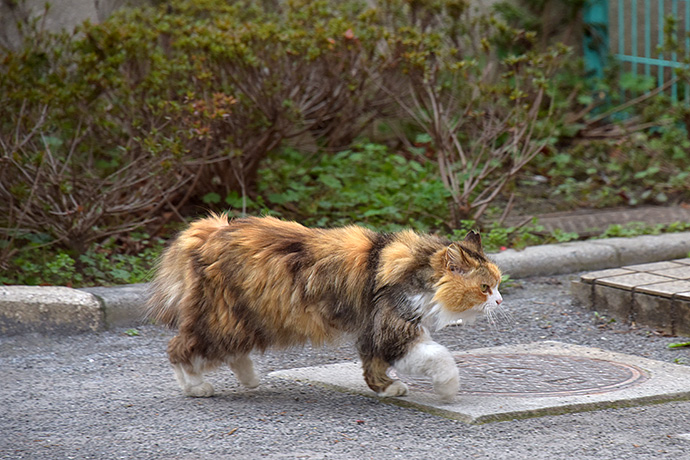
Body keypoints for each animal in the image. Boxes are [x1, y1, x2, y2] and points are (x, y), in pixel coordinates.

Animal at [146, 214, 500, 400]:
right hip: (223, 320)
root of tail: (211, 229)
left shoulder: (375, 330)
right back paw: (195, 386)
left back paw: (249, 379)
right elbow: (440, 357)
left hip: (246, 321)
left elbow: (373, 365)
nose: (499, 300)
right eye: (485, 287)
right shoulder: (392, 329)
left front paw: (385, 388)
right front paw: (448, 388)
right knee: (179, 349)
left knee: (229, 352)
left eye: (498, 283)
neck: (417, 270)